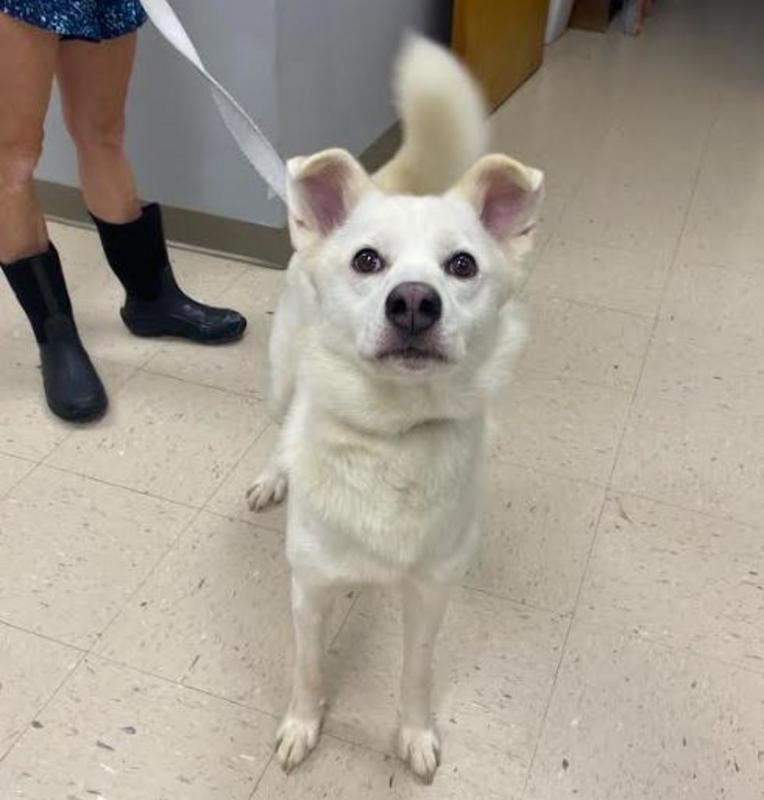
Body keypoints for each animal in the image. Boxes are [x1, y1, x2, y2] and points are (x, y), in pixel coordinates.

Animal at [246, 36, 544, 780]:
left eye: (462, 266)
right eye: (367, 261)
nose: (413, 301)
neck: (392, 437)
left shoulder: (432, 593)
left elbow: (417, 673)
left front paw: (414, 733)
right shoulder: (309, 589)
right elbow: (308, 669)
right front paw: (303, 725)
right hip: (279, 375)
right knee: (279, 427)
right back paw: (273, 473)